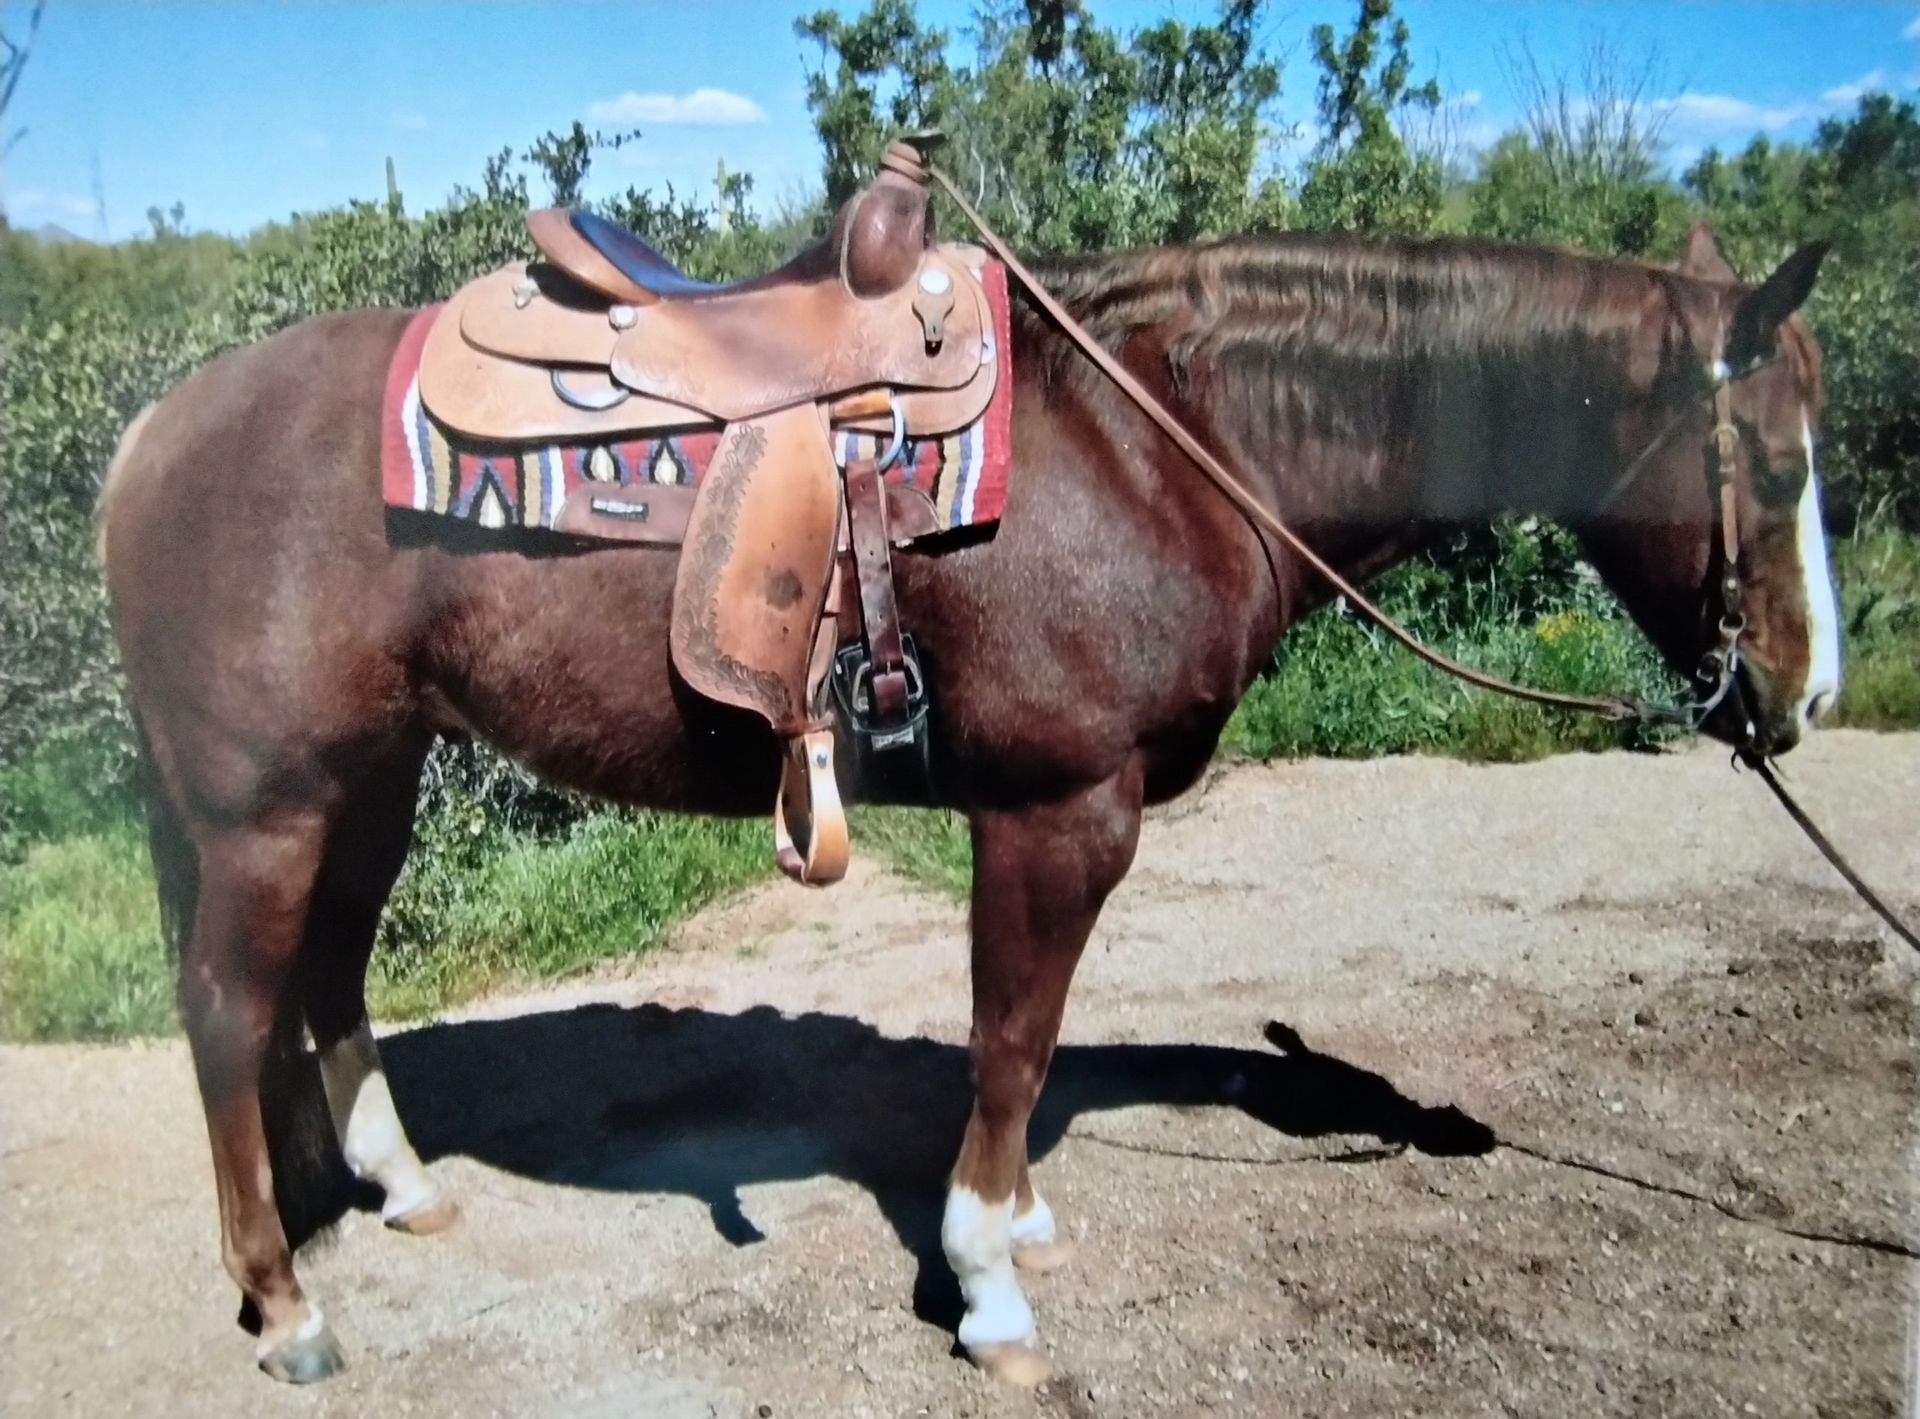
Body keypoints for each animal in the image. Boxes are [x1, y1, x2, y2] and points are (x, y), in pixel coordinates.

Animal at [98, 218, 1838, 1386]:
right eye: (1767, 456)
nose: (1804, 695)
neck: (1159, 439)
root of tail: (153, 431)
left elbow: (1032, 1039)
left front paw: (1020, 1222)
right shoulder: (1058, 811)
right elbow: (1013, 1035)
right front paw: (990, 1277)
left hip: (367, 777)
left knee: (329, 977)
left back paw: (401, 1189)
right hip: (265, 808)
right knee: (228, 1012)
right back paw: (287, 1303)